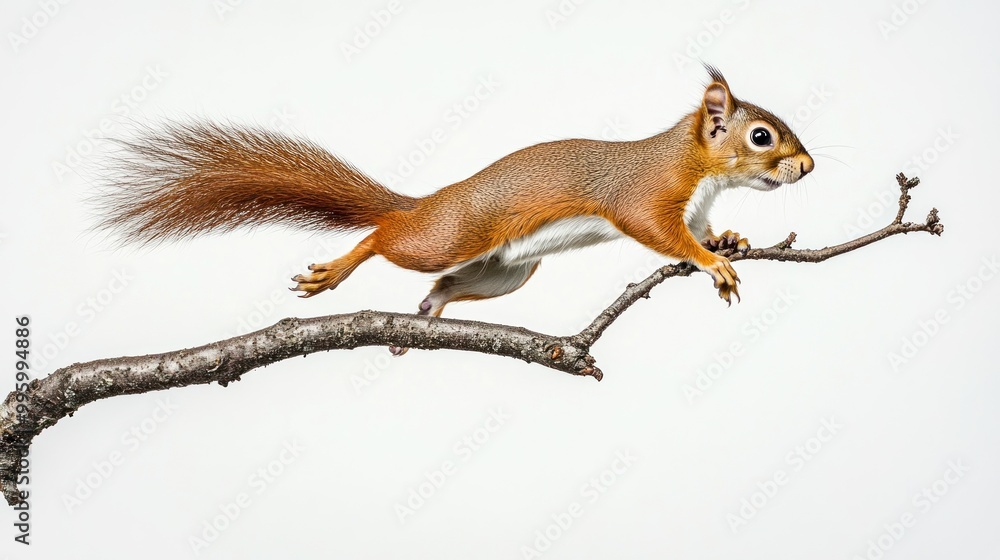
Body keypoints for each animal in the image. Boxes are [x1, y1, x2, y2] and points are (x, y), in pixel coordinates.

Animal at [97, 66, 813, 354]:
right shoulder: (642, 198)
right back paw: (339, 270)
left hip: (503, 272)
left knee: (442, 284)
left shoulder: (693, 208)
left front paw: (730, 241)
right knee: (386, 236)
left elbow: (702, 230)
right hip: (447, 234)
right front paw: (712, 263)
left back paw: (423, 318)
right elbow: (660, 233)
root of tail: (432, 201)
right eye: (761, 137)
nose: (807, 168)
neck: (696, 169)